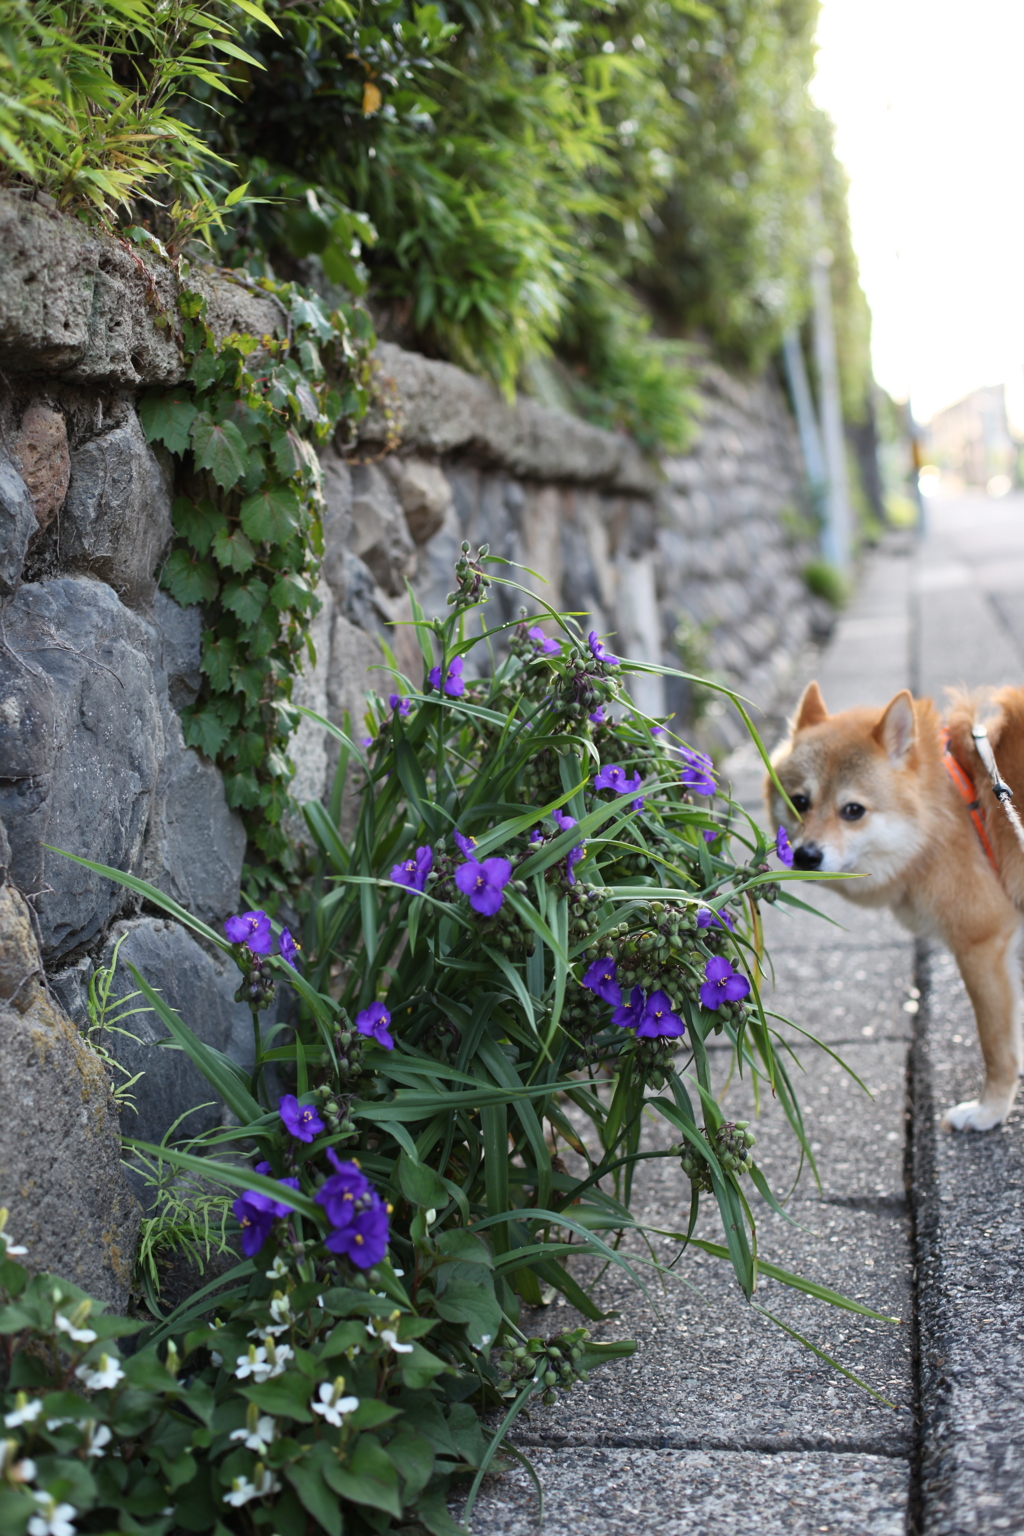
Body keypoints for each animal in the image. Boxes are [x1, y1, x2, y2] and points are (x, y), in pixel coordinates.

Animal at [767, 685, 1024, 1130]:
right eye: (799, 801)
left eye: (853, 810)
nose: (805, 855)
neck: (947, 810)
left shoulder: (982, 945)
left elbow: (997, 1046)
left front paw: (990, 1110)